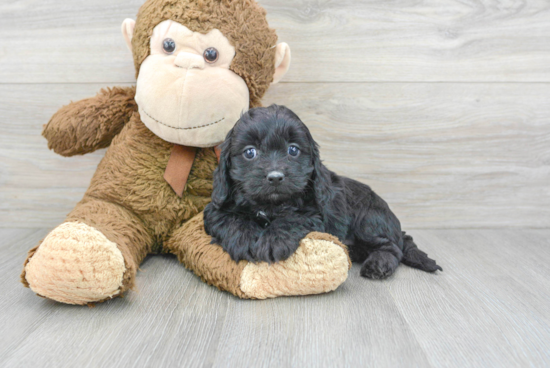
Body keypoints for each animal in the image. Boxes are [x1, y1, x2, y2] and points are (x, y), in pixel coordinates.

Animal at [204, 105, 444, 278]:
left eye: (293, 150)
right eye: (249, 152)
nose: (275, 177)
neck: (269, 205)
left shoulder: (316, 213)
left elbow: (292, 219)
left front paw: (273, 241)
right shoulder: (215, 207)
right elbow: (227, 218)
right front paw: (244, 238)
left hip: (368, 219)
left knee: (394, 247)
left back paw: (378, 264)